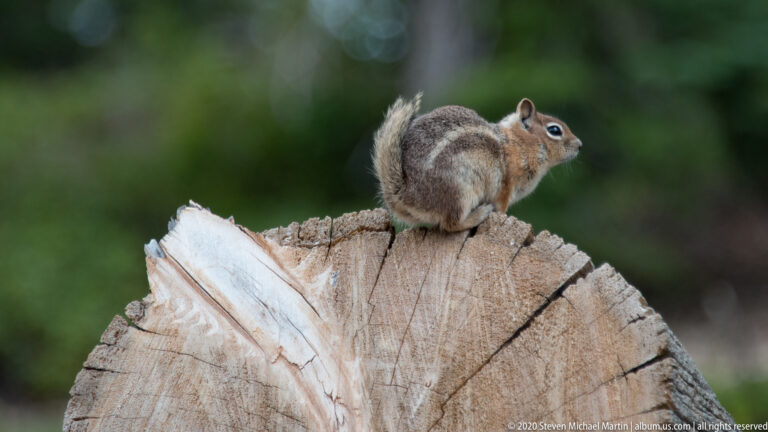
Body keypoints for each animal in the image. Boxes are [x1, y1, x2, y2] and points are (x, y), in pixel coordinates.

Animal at [372, 93, 582, 231]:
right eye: (554, 130)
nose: (580, 145)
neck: (517, 143)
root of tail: (406, 194)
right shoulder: (506, 186)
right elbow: (502, 208)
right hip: (461, 191)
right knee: (451, 224)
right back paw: (478, 215)